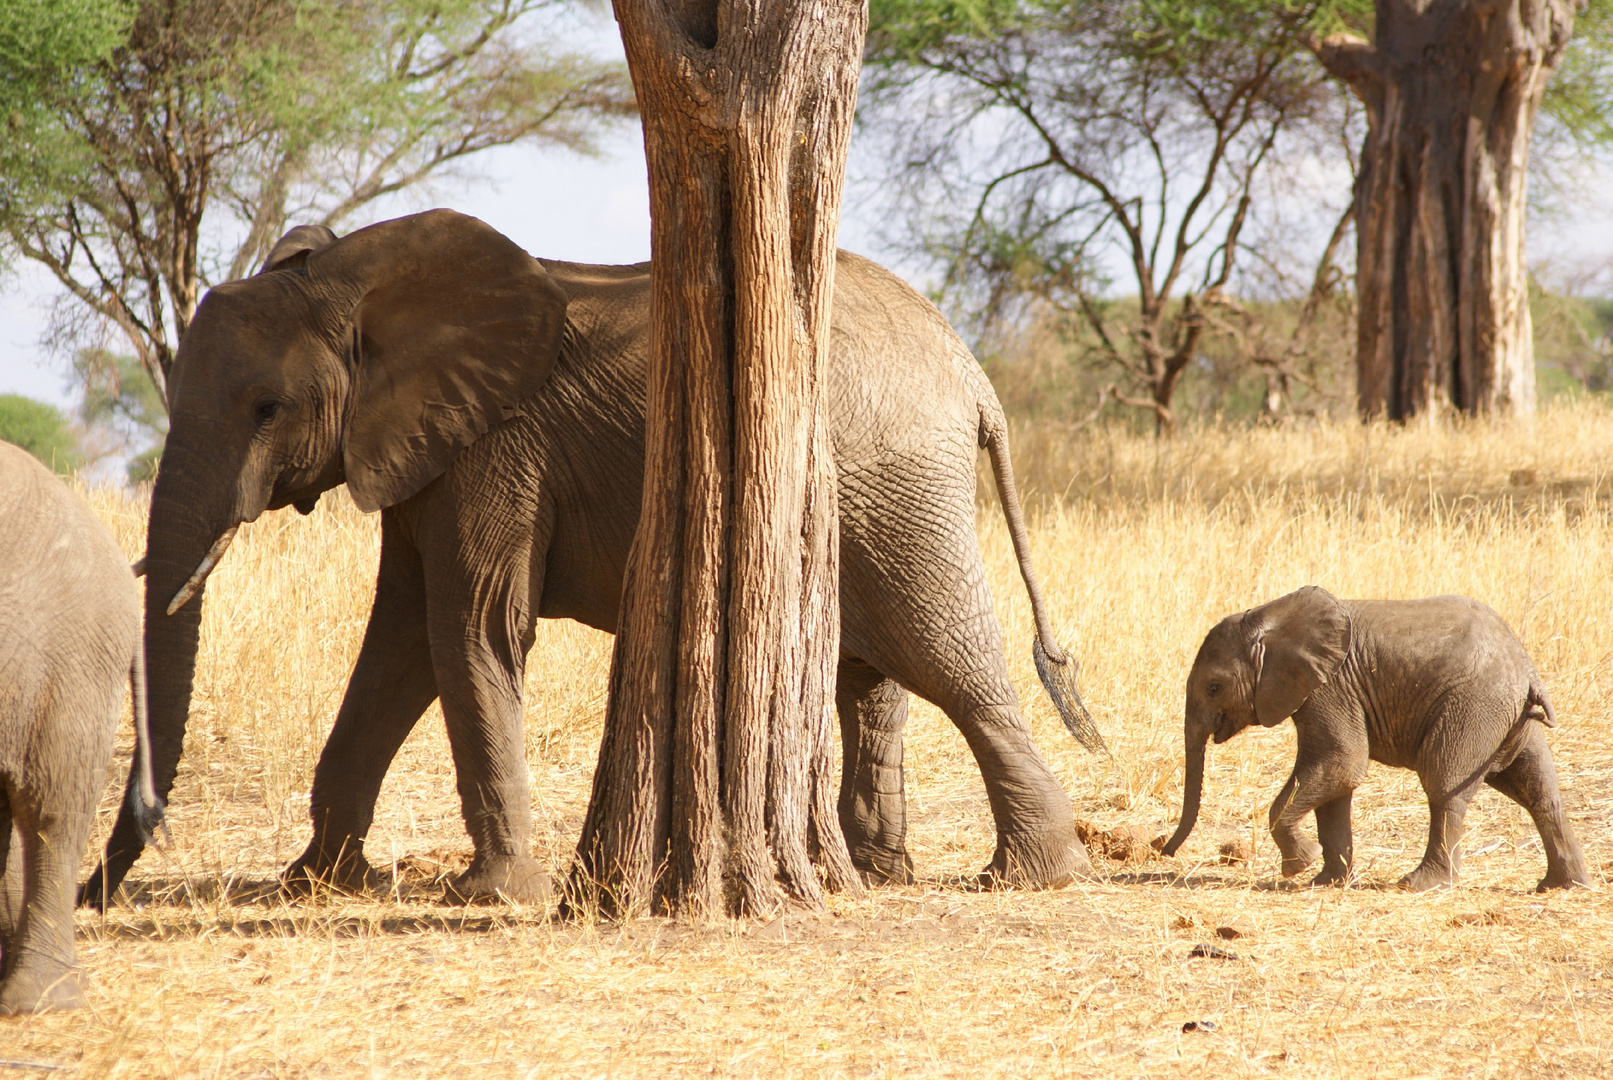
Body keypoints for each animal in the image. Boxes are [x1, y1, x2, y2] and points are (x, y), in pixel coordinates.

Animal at [81, 209, 1103, 902]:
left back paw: (1030, 874)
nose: (95, 892)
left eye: (266, 408)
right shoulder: (421, 451)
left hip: (892, 482)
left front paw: (489, 898)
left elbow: (470, 627)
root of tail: (970, 372)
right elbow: (400, 645)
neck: (354, 274)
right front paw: (318, 883)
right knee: (872, 670)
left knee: (949, 661)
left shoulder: (495, 445)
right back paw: (882, 871)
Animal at [1161, 586, 1587, 889]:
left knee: (1443, 785)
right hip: (1508, 717)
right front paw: (1326, 881)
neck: (1270, 615)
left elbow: (1341, 764)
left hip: (1474, 705)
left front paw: (1299, 865)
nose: (1162, 851)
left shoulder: (1330, 688)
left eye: (1214, 687)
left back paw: (1422, 884)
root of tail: (1527, 669)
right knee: (1539, 790)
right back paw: (1562, 886)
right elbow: (1335, 782)